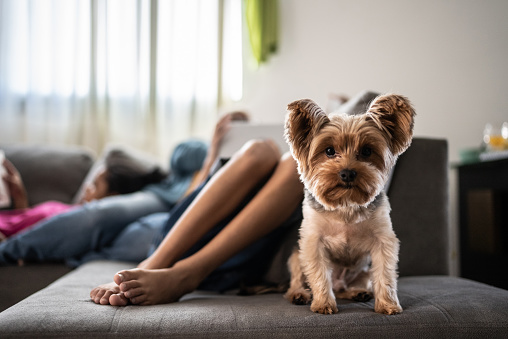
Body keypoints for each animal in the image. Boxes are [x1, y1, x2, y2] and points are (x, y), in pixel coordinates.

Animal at [284, 93, 414, 316]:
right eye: (329, 151)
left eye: (367, 151)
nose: (347, 173)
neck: (345, 203)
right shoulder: (312, 241)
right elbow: (318, 273)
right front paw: (323, 304)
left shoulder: (383, 240)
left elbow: (385, 274)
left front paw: (388, 305)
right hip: (296, 257)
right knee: (297, 280)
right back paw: (299, 294)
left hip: (362, 272)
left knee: (351, 285)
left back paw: (357, 293)